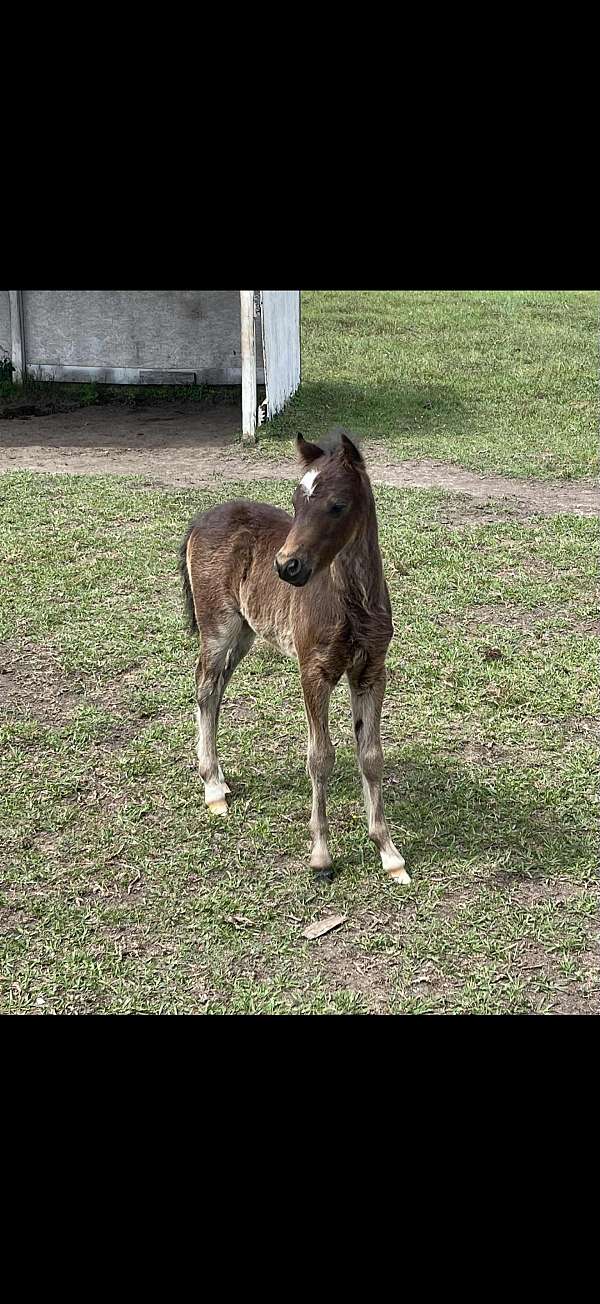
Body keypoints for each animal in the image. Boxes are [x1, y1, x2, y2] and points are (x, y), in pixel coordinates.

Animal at [179, 431, 410, 885]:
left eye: (336, 505)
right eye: (296, 501)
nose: (287, 566)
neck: (351, 602)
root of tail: (201, 519)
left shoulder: (371, 672)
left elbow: (371, 756)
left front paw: (388, 853)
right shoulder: (313, 672)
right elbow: (320, 757)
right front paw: (321, 856)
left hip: (244, 634)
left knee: (216, 692)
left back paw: (219, 780)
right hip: (218, 630)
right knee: (205, 689)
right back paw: (212, 788)